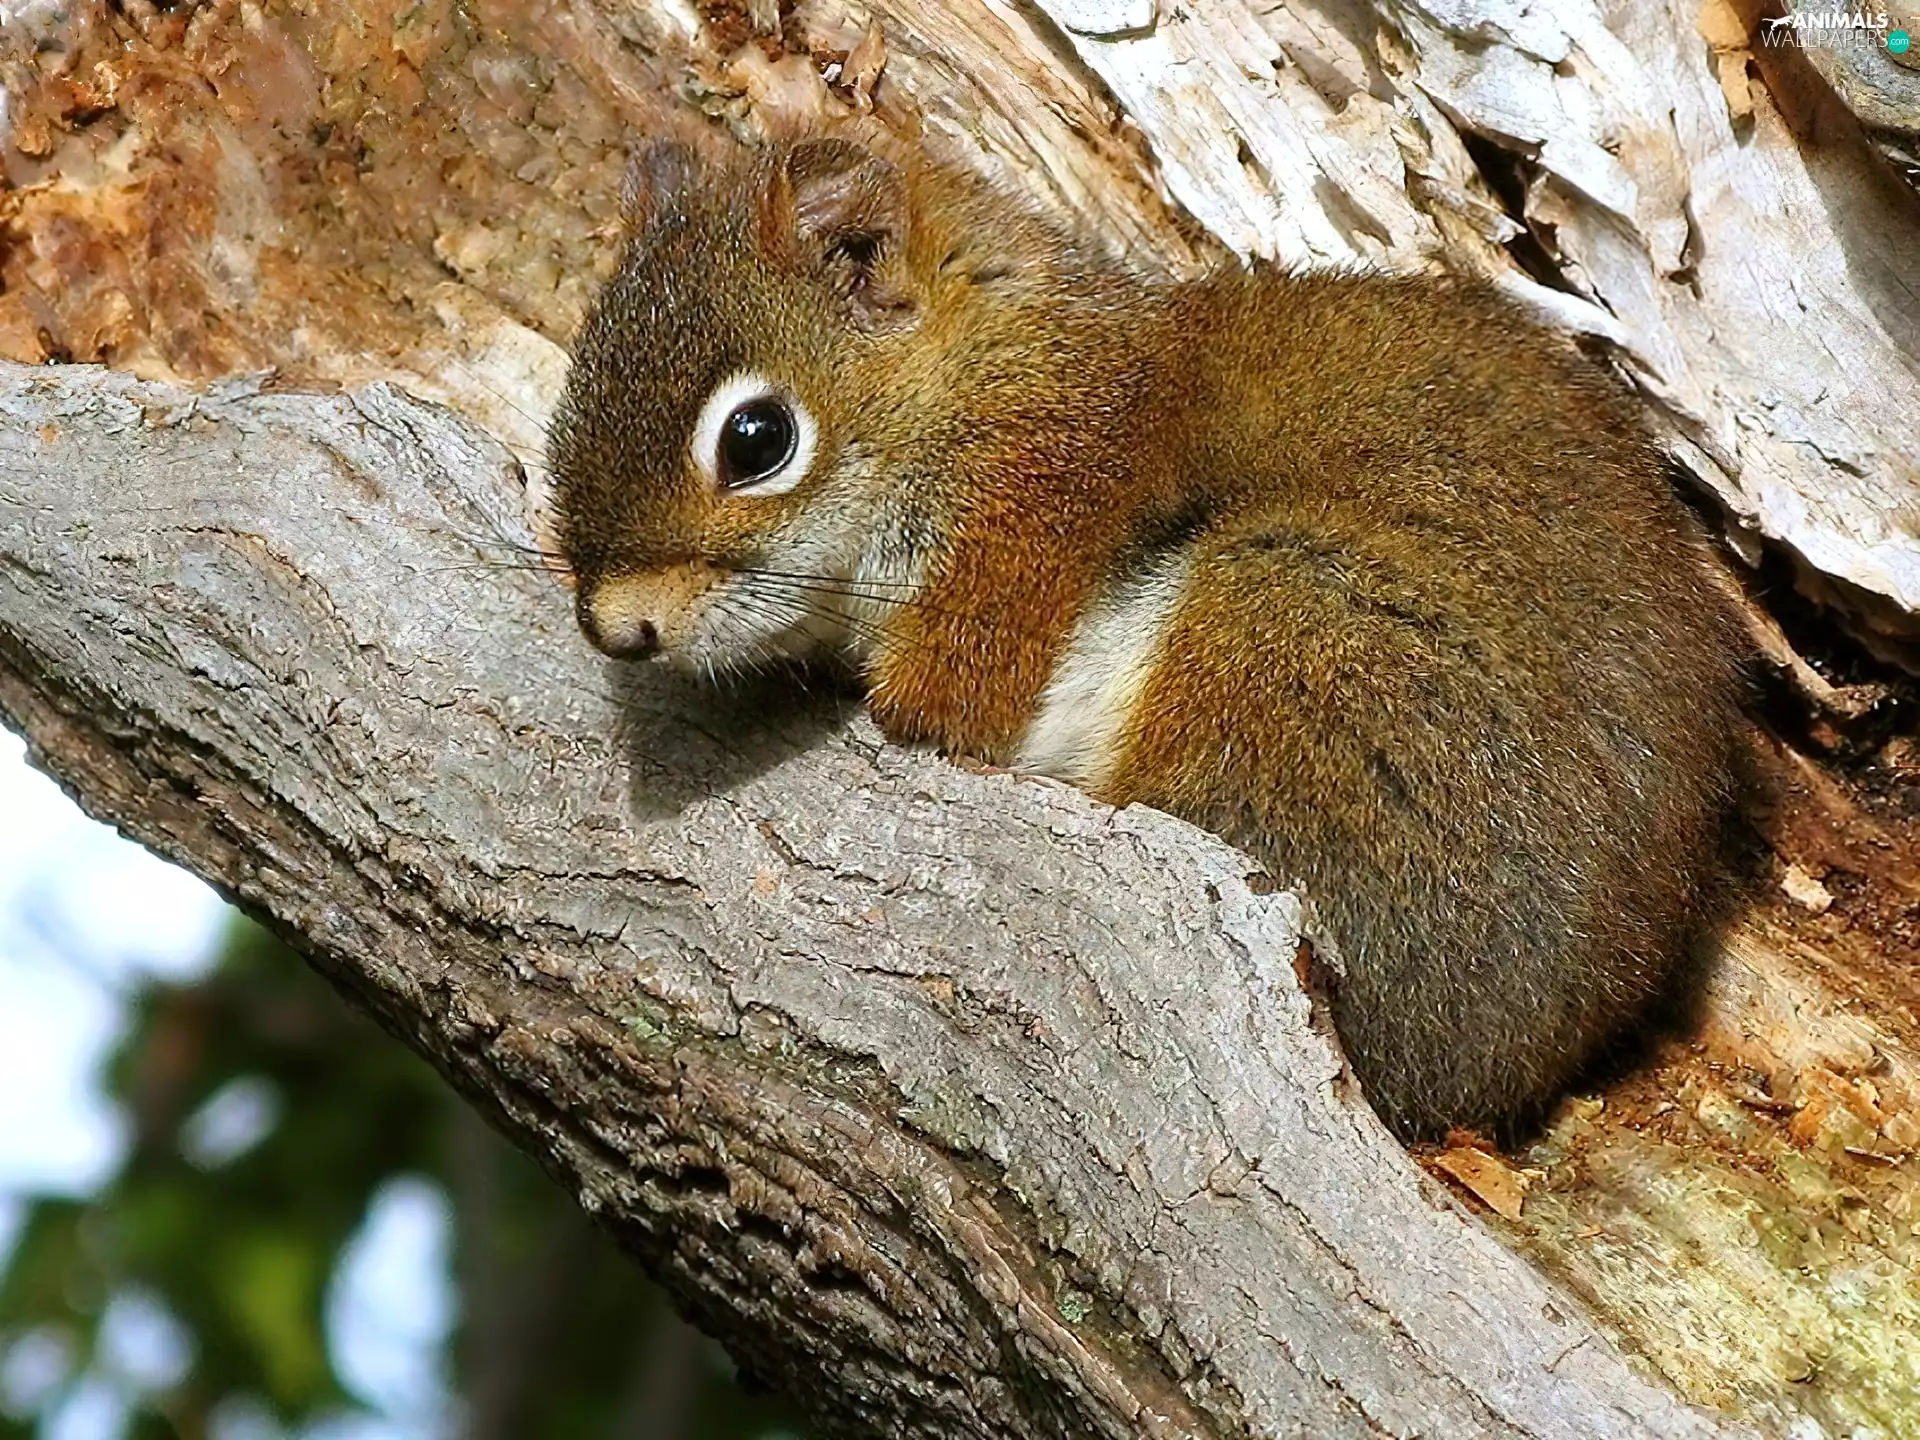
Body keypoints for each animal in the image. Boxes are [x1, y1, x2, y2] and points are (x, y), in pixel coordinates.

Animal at [543, 132, 1744, 1142]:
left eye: (757, 439)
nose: (616, 629)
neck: (985, 379)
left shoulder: (1018, 536)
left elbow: (938, 710)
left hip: (1296, 633)